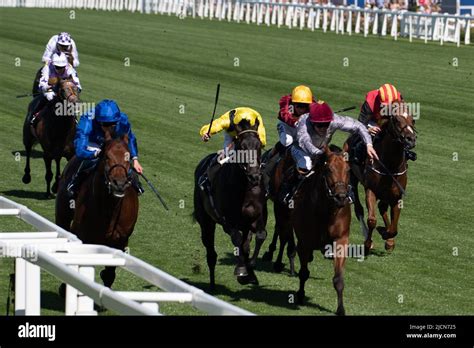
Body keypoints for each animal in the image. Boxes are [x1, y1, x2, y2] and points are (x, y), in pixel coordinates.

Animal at [55, 129, 139, 286]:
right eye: (106, 156)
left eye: (129, 157)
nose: (119, 184)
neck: (110, 209)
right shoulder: (81, 235)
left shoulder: (121, 241)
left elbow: (109, 274)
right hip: (62, 215)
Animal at [193, 121, 266, 290]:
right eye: (242, 147)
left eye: (259, 145)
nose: (255, 176)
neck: (245, 188)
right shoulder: (229, 221)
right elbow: (237, 239)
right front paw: (241, 270)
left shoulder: (256, 217)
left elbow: (260, 236)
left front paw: (250, 269)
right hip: (206, 221)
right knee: (211, 253)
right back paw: (212, 285)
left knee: (245, 245)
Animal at [278, 145, 352, 316]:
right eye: (329, 169)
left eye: (348, 169)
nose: (341, 197)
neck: (326, 211)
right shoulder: (304, 242)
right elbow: (304, 272)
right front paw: (300, 295)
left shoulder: (341, 240)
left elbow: (338, 279)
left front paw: (341, 309)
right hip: (284, 219)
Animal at [342, 100, 416, 253]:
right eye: (396, 120)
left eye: (413, 120)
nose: (411, 139)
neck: (390, 165)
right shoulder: (371, 190)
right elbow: (372, 220)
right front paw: (368, 243)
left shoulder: (397, 195)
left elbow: (394, 228)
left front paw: (388, 238)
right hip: (353, 177)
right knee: (359, 209)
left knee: (382, 207)